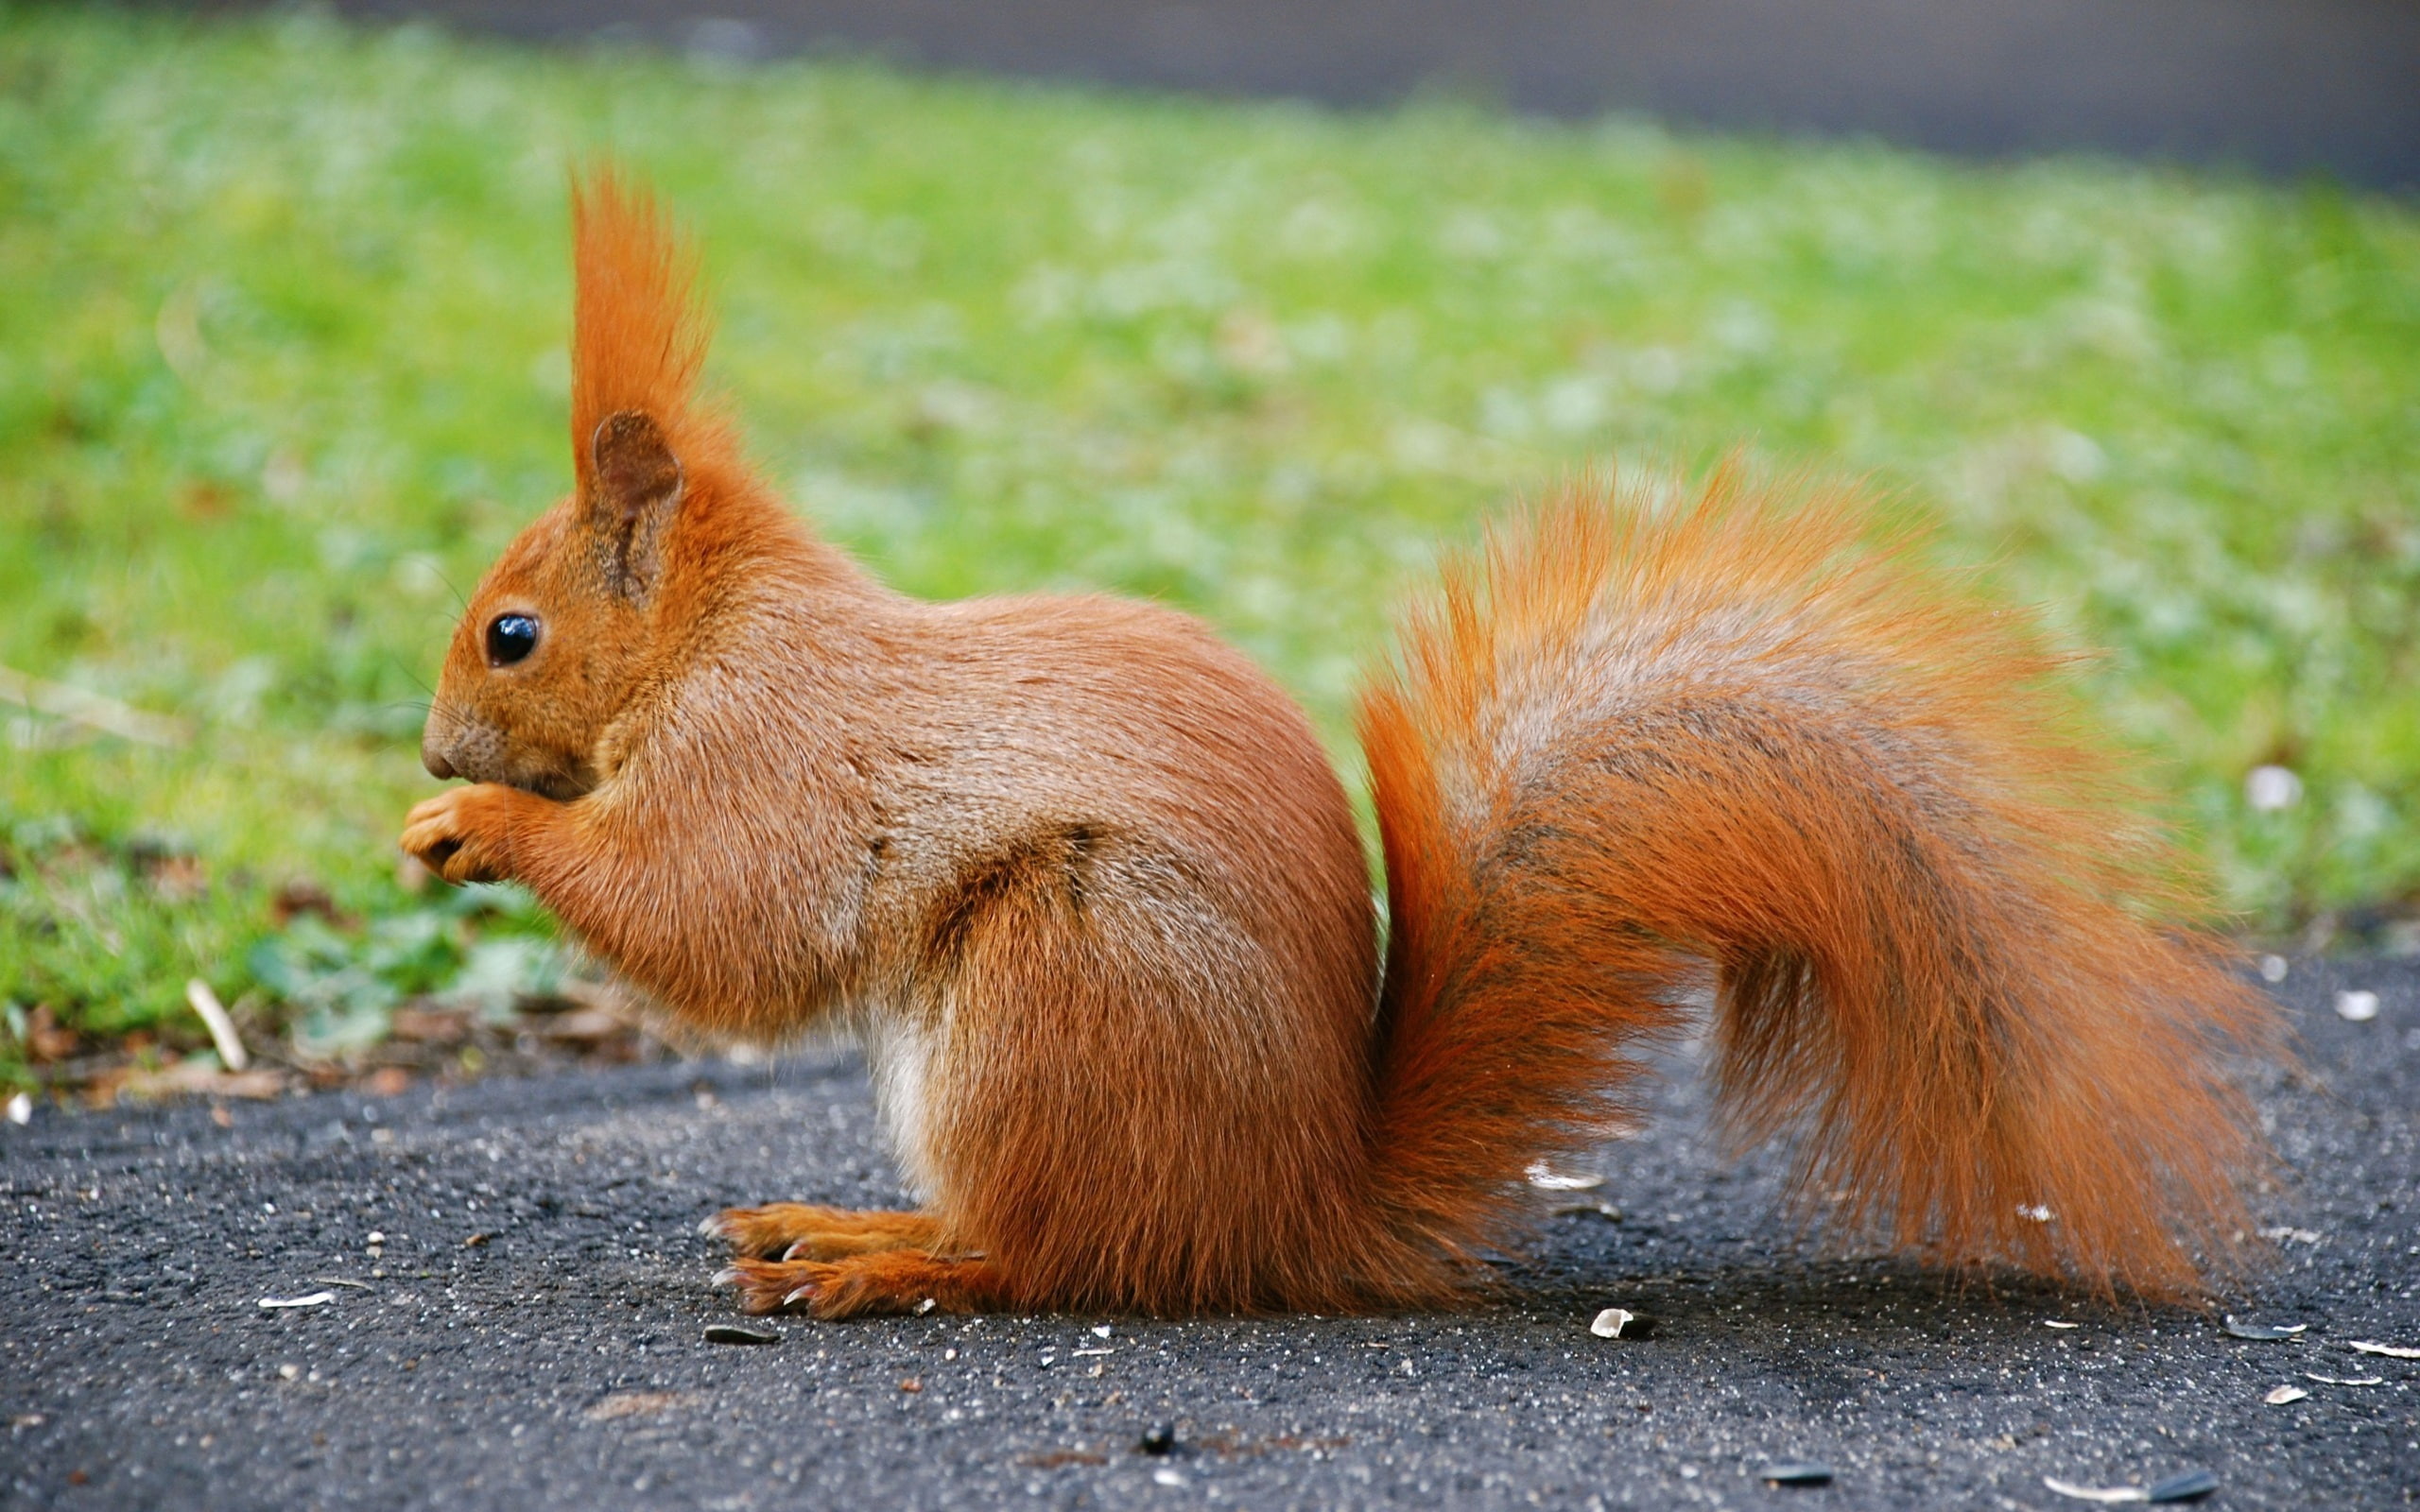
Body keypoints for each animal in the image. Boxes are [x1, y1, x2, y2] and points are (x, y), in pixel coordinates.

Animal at [403, 168, 2277, 1320]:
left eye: (512, 633)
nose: (429, 754)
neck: (715, 637)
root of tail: (1296, 1209)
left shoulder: (769, 753)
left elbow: (721, 919)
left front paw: (487, 833)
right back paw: (845, 1221)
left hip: (1059, 981)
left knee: (1058, 1258)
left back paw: (879, 1260)